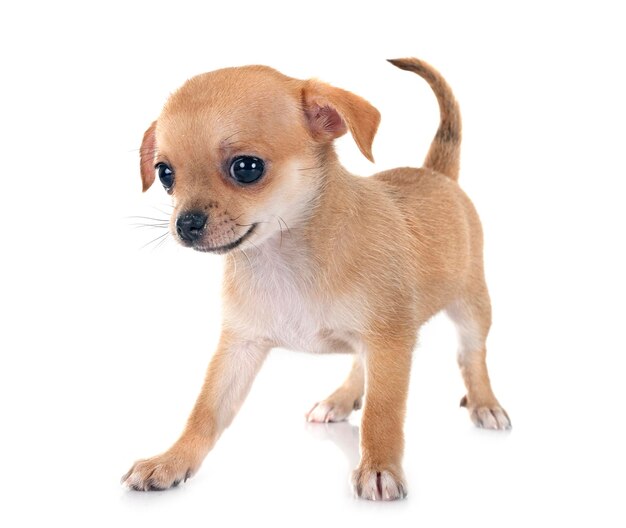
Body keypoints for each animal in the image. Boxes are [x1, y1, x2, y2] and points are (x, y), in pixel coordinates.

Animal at [120, 57, 508, 500]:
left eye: (247, 168)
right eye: (165, 174)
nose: (185, 224)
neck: (282, 258)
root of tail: (436, 173)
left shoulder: (390, 344)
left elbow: (383, 412)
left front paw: (379, 467)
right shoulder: (239, 346)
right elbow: (205, 411)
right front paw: (172, 460)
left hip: (472, 306)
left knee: (470, 355)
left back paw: (485, 403)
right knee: (360, 364)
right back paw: (340, 399)